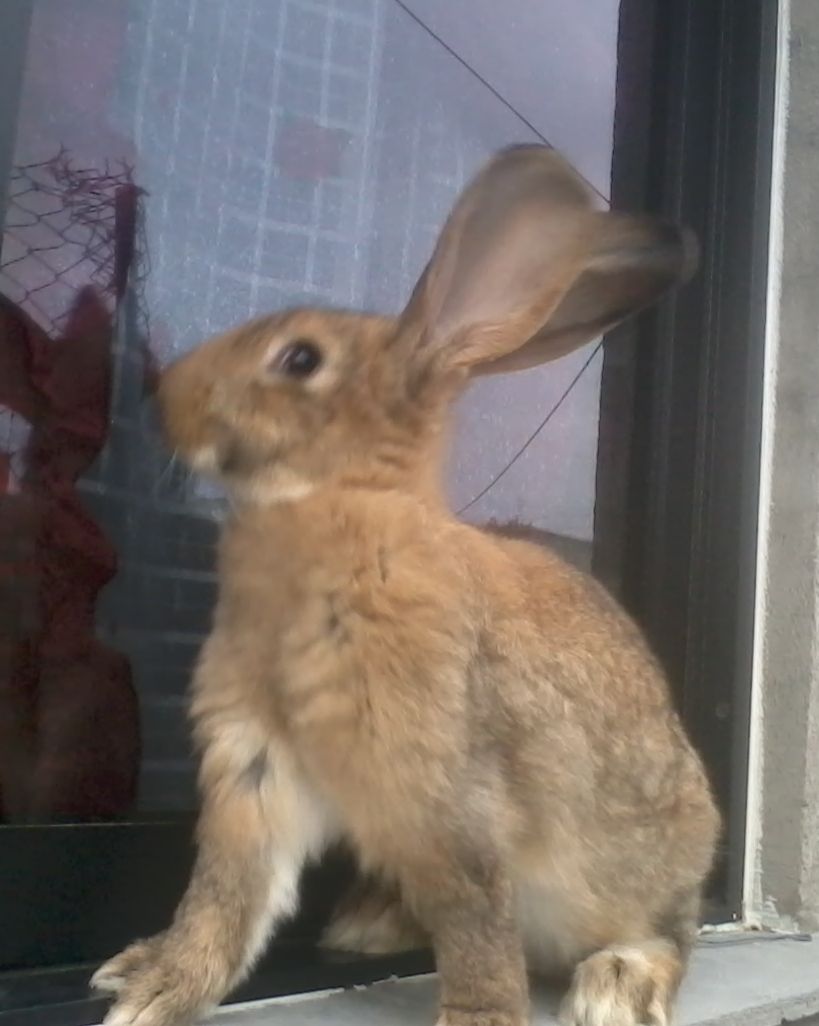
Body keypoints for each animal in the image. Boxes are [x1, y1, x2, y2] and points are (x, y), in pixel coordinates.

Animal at [91, 145, 719, 1026]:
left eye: (300, 359)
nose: (161, 394)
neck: (341, 507)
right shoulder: (255, 763)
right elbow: (225, 896)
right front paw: (155, 985)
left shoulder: (444, 791)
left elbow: (474, 921)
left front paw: (481, 1018)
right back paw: (367, 926)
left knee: (666, 938)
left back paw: (614, 987)